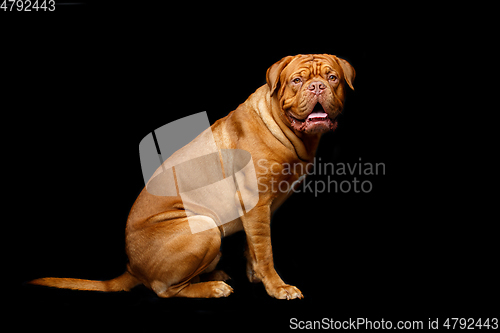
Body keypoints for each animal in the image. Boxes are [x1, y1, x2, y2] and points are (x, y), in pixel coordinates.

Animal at [29, 53, 356, 298]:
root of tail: (132, 267)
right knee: (164, 289)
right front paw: (277, 286)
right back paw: (211, 287)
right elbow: (265, 251)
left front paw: (255, 276)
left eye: (332, 78)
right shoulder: (257, 203)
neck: (279, 125)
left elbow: (253, 247)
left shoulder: (261, 211)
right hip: (203, 226)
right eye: (297, 81)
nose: (317, 87)